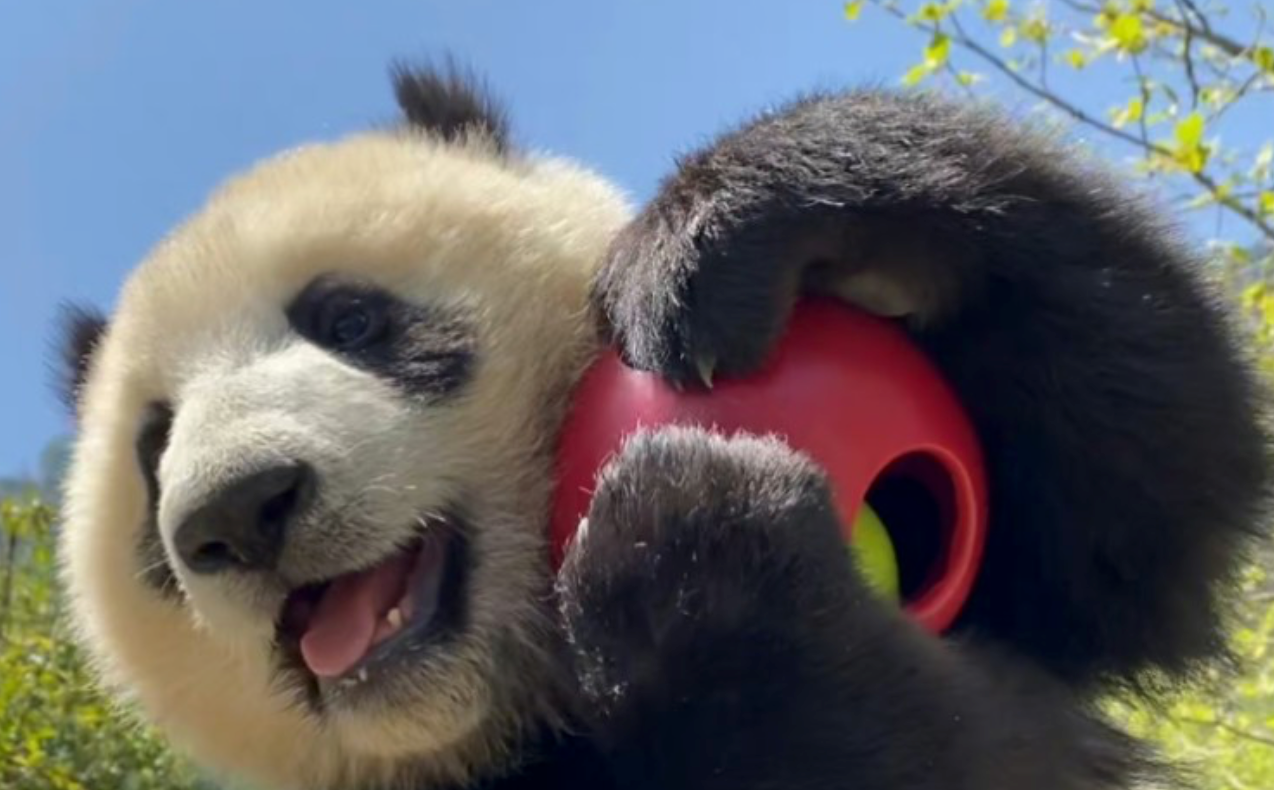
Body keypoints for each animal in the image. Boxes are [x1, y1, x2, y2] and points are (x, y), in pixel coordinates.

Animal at [53, 60, 1271, 790]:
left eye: (348, 317)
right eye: (155, 450)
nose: (238, 511)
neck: (513, 713)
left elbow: (1145, 497)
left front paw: (743, 223)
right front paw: (698, 552)